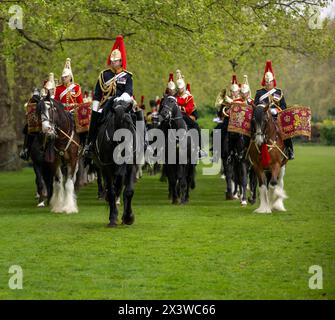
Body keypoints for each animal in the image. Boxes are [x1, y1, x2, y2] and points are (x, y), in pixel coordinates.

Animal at [93, 100, 136, 228]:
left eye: (131, 122)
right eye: (122, 123)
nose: (129, 151)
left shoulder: (130, 167)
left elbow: (128, 191)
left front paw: (128, 217)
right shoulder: (107, 167)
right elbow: (112, 191)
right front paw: (113, 218)